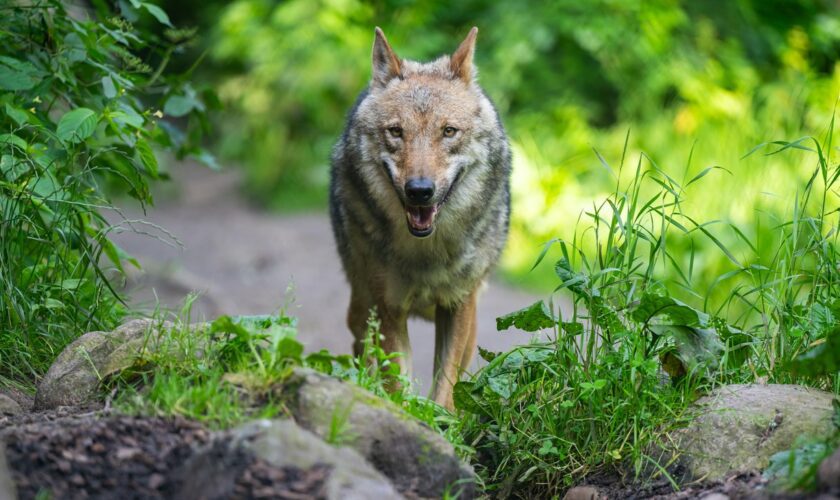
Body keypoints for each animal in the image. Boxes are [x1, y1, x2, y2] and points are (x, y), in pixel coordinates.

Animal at [330, 27, 512, 408]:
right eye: (396, 131)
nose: (419, 190)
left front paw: (439, 419)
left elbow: (446, 387)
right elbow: (397, 384)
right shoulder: (388, 308)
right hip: (361, 307)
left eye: (449, 131)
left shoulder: (458, 305)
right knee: (361, 351)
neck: (427, 253)